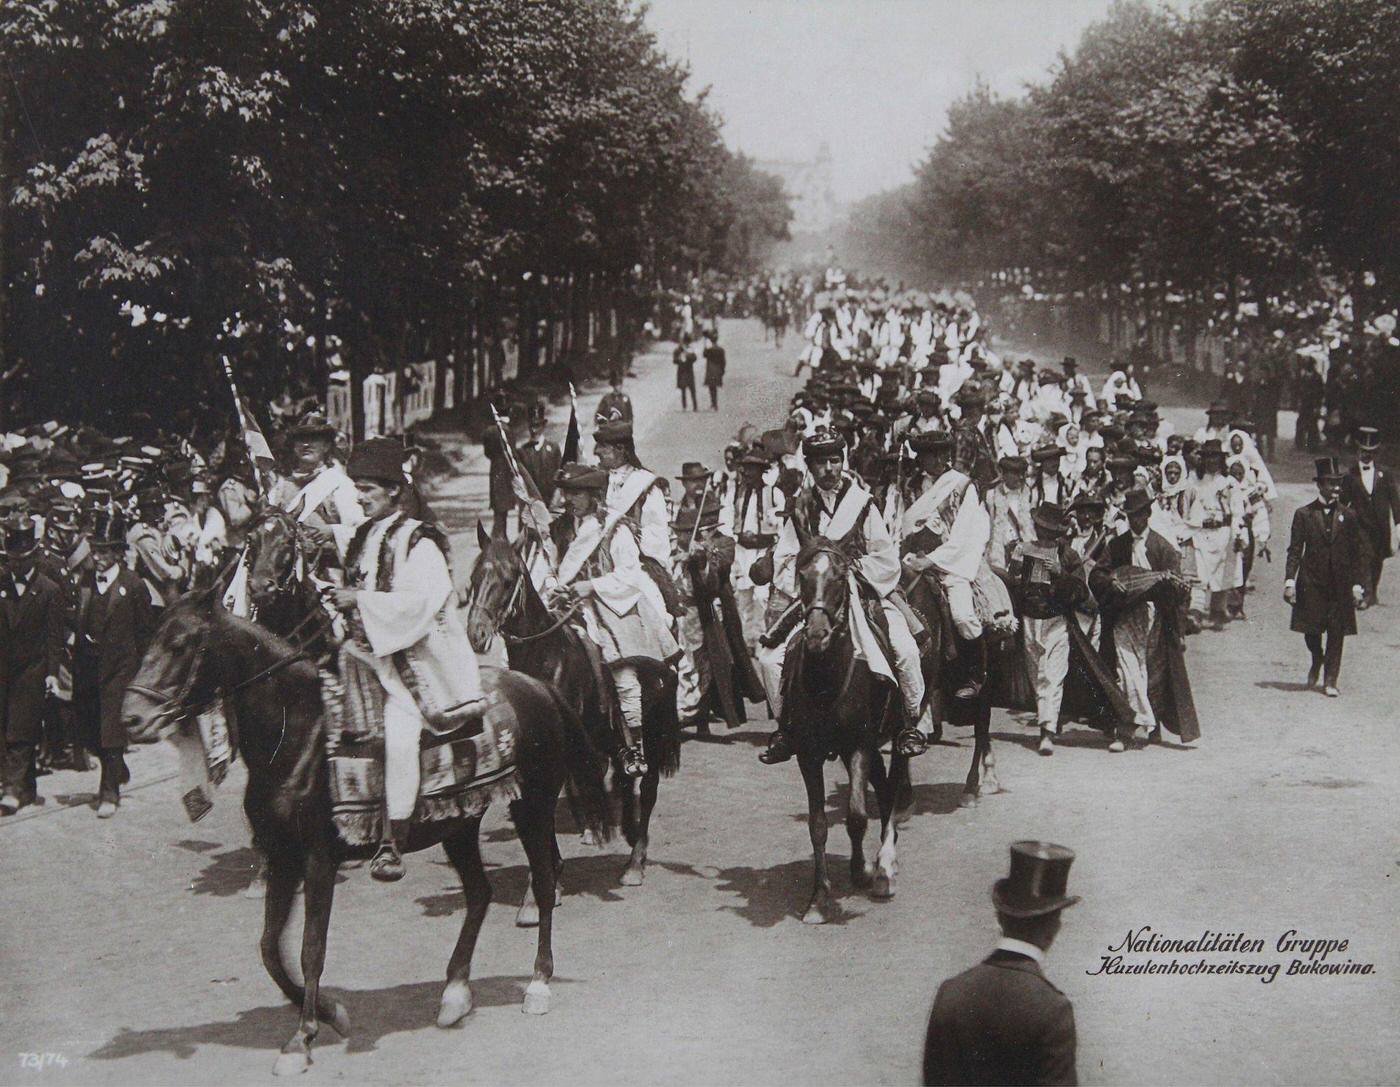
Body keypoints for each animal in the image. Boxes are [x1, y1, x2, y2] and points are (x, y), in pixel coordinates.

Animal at [124, 599, 613, 1075]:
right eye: (150, 640)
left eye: (180, 645)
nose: (131, 718)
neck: (297, 736)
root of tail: (536, 686)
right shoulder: (282, 858)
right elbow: (268, 948)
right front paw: (331, 1013)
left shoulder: (318, 860)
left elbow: (311, 949)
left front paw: (302, 1038)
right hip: (460, 826)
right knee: (479, 892)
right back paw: (455, 993)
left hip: (532, 807)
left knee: (544, 883)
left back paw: (537, 983)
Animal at [464, 521, 683, 885]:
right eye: (475, 577)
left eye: (508, 579)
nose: (476, 634)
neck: (546, 656)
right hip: (606, 735)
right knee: (623, 776)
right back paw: (626, 829)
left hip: (652, 732)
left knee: (648, 788)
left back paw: (635, 862)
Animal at [789, 535, 907, 924]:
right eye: (803, 575)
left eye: (841, 578)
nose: (816, 635)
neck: (827, 680)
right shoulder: (808, 753)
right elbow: (818, 826)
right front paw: (818, 899)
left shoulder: (860, 745)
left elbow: (856, 816)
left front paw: (865, 871)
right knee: (883, 788)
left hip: (896, 735)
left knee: (893, 788)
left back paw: (885, 867)